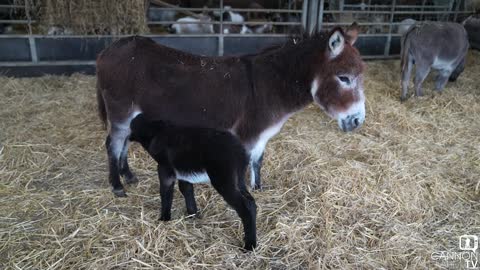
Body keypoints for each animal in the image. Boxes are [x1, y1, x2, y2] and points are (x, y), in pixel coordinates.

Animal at [126, 114, 255, 251]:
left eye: (133, 127)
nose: (128, 137)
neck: (158, 132)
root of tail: (240, 152)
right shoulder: (183, 173)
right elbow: (186, 189)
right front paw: (193, 215)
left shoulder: (165, 169)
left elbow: (166, 193)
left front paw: (164, 219)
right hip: (239, 179)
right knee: (251, 201)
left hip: (224, 180)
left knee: (246, 206)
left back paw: (249, 245)